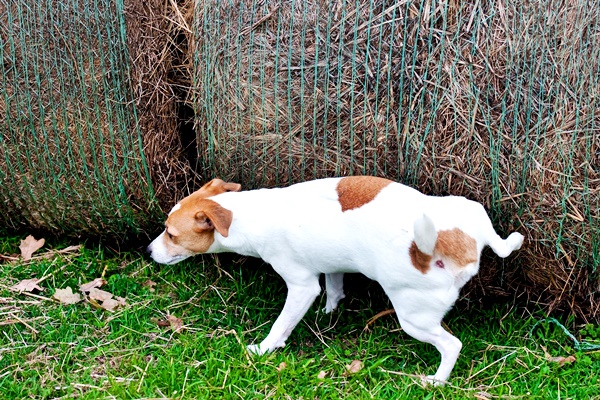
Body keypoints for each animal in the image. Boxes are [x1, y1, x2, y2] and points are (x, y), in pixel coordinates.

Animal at [148, 176, 524, 384]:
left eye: (170, 234)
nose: (148, 250)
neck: (248, 214)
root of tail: (456, 243)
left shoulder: (301, 286)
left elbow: (282, 324)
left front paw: (264, 348)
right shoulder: (330, 265)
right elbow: (334, 287)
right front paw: (330, 311)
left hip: (413, 318)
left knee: (451, 345)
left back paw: (437, 380)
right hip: (468, 207)